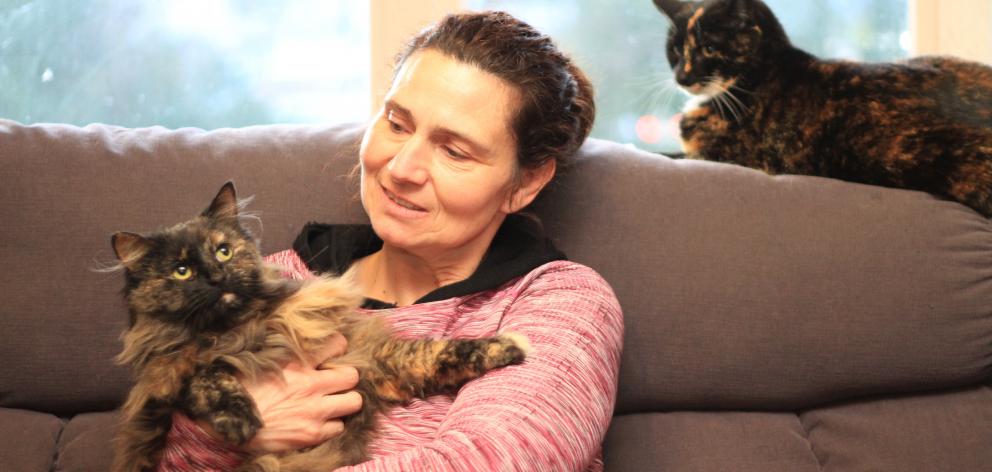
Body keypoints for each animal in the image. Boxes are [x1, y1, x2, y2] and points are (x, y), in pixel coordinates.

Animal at [107, 182, 528, 472]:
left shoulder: (368, 358)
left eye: (223, 251)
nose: (215, 276)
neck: (246, 331)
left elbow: (436, 351)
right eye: (182, 271)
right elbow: (205, 375)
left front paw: (509, 347)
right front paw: (239, 418)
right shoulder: (161, 381)